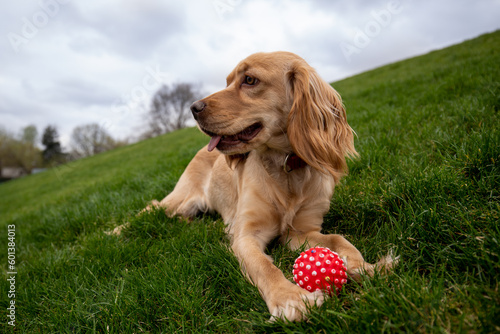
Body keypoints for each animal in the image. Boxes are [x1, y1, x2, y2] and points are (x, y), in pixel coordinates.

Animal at [146, 51, 398, 320]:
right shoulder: (246, 235)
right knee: (150, 210)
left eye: (249, 80)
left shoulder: (298, 232)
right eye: (228, 82)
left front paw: (365, 267)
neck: (284, 167)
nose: (193, 108)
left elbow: (338, 239)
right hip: (177, 202)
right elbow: (264, 266)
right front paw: (291, 298)